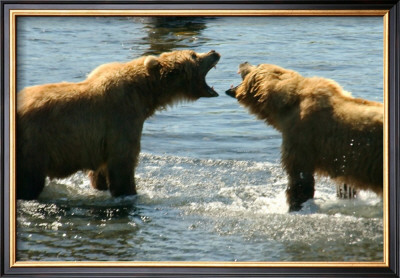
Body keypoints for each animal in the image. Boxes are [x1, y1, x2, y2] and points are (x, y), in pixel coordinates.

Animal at [16, 48, 219, 199]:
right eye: (194, 55)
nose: (214, 51)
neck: (145, 93)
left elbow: (100, 171)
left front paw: (101, 186)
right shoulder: (122, 118)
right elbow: (123, 162)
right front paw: (129, 192)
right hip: (35, 144)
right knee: (31, 181)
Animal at [227, 62, 382, 211]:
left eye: (257, 65)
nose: (243, 62)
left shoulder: (303, 137)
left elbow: (299, 175)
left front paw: (296, 204)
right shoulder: (344, 158)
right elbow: (345, 185)